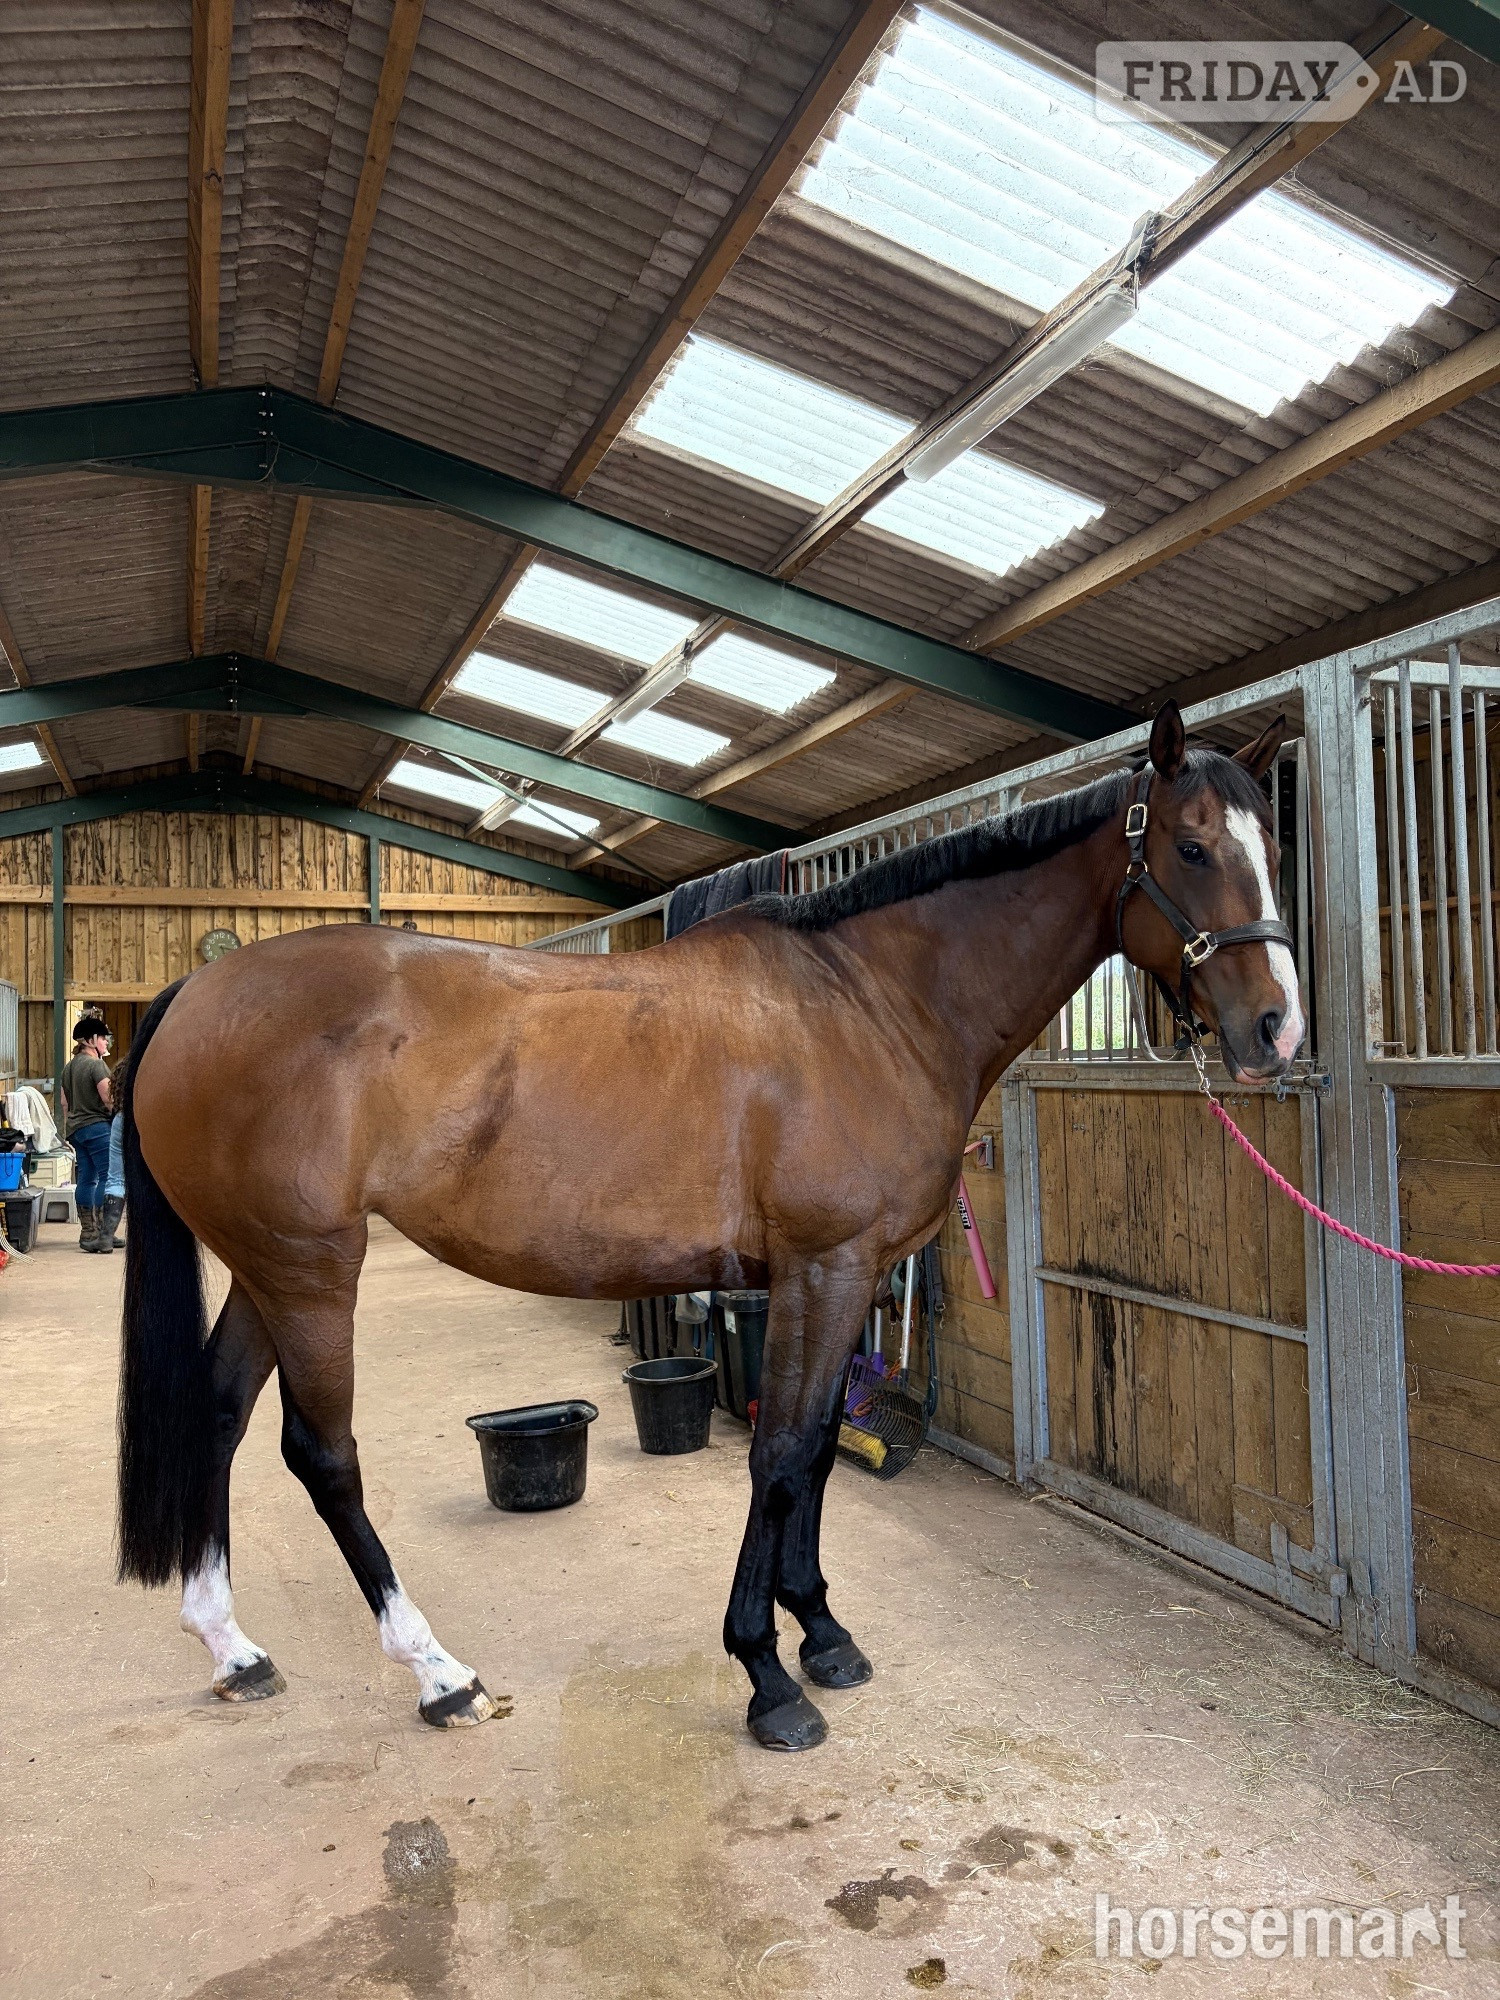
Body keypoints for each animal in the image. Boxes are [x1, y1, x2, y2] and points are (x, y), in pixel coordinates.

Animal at [116, 700, 1303, 1751]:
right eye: (1193, 846)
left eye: (1273, 845)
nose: (1277, 1029)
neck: (872, 1003)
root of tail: (195, 992)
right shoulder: (824, 1267)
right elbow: (776, 1454)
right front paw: (768, 1676)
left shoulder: (837, 1277)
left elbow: (817, 1448)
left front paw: (821, 1631)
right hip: (311, 1269)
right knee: (322, 1454)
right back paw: (441, 1674)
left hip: (267, 1269)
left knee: (217, 1411)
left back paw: (234, 1647)